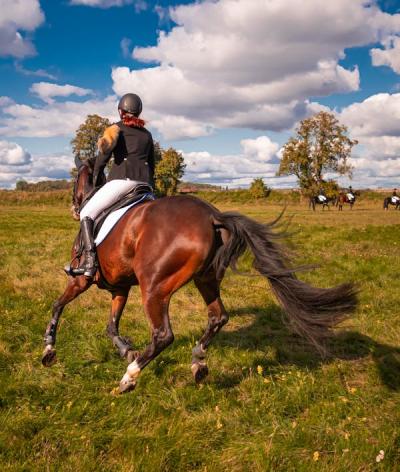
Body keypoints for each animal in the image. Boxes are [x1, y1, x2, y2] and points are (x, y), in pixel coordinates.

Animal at [41, 159, 356, 394]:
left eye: (75, 180)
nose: (74, 207)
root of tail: (212, 217)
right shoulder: (119, 287)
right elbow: (111, 326)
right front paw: (126, 350)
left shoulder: (81, 279)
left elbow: (57, 306)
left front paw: (48, 349)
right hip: (206, 279)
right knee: (218, 317)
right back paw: (198, 363)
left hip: (154, 288)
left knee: (163, 335)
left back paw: (129, 378)